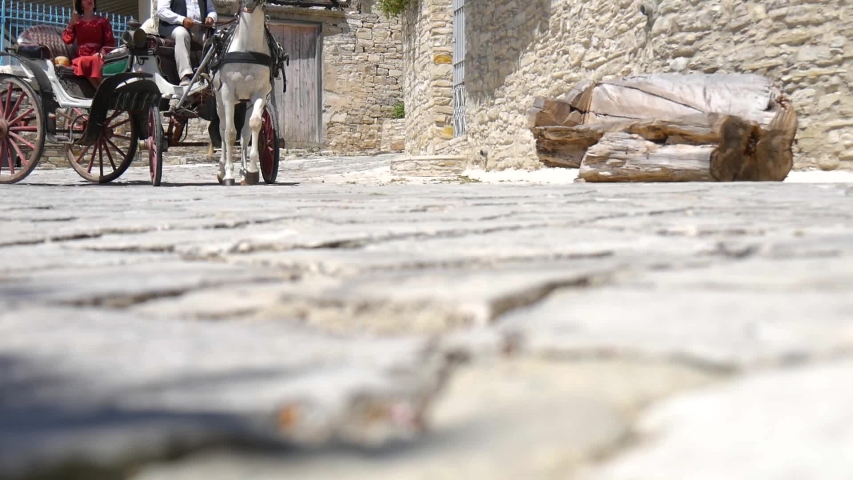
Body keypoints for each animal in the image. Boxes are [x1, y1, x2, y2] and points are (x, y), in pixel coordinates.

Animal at [211, 0, 272, 186]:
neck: (248, 50)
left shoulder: (260, 93)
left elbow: (255, 125)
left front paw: (251, 171)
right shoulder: (228, 94)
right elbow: (230, 134)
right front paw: (229, 174)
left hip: (246, 102)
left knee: (245, 134)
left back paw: (244, 172)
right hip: (219, 102)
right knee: (223, 129)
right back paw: (222, 170)